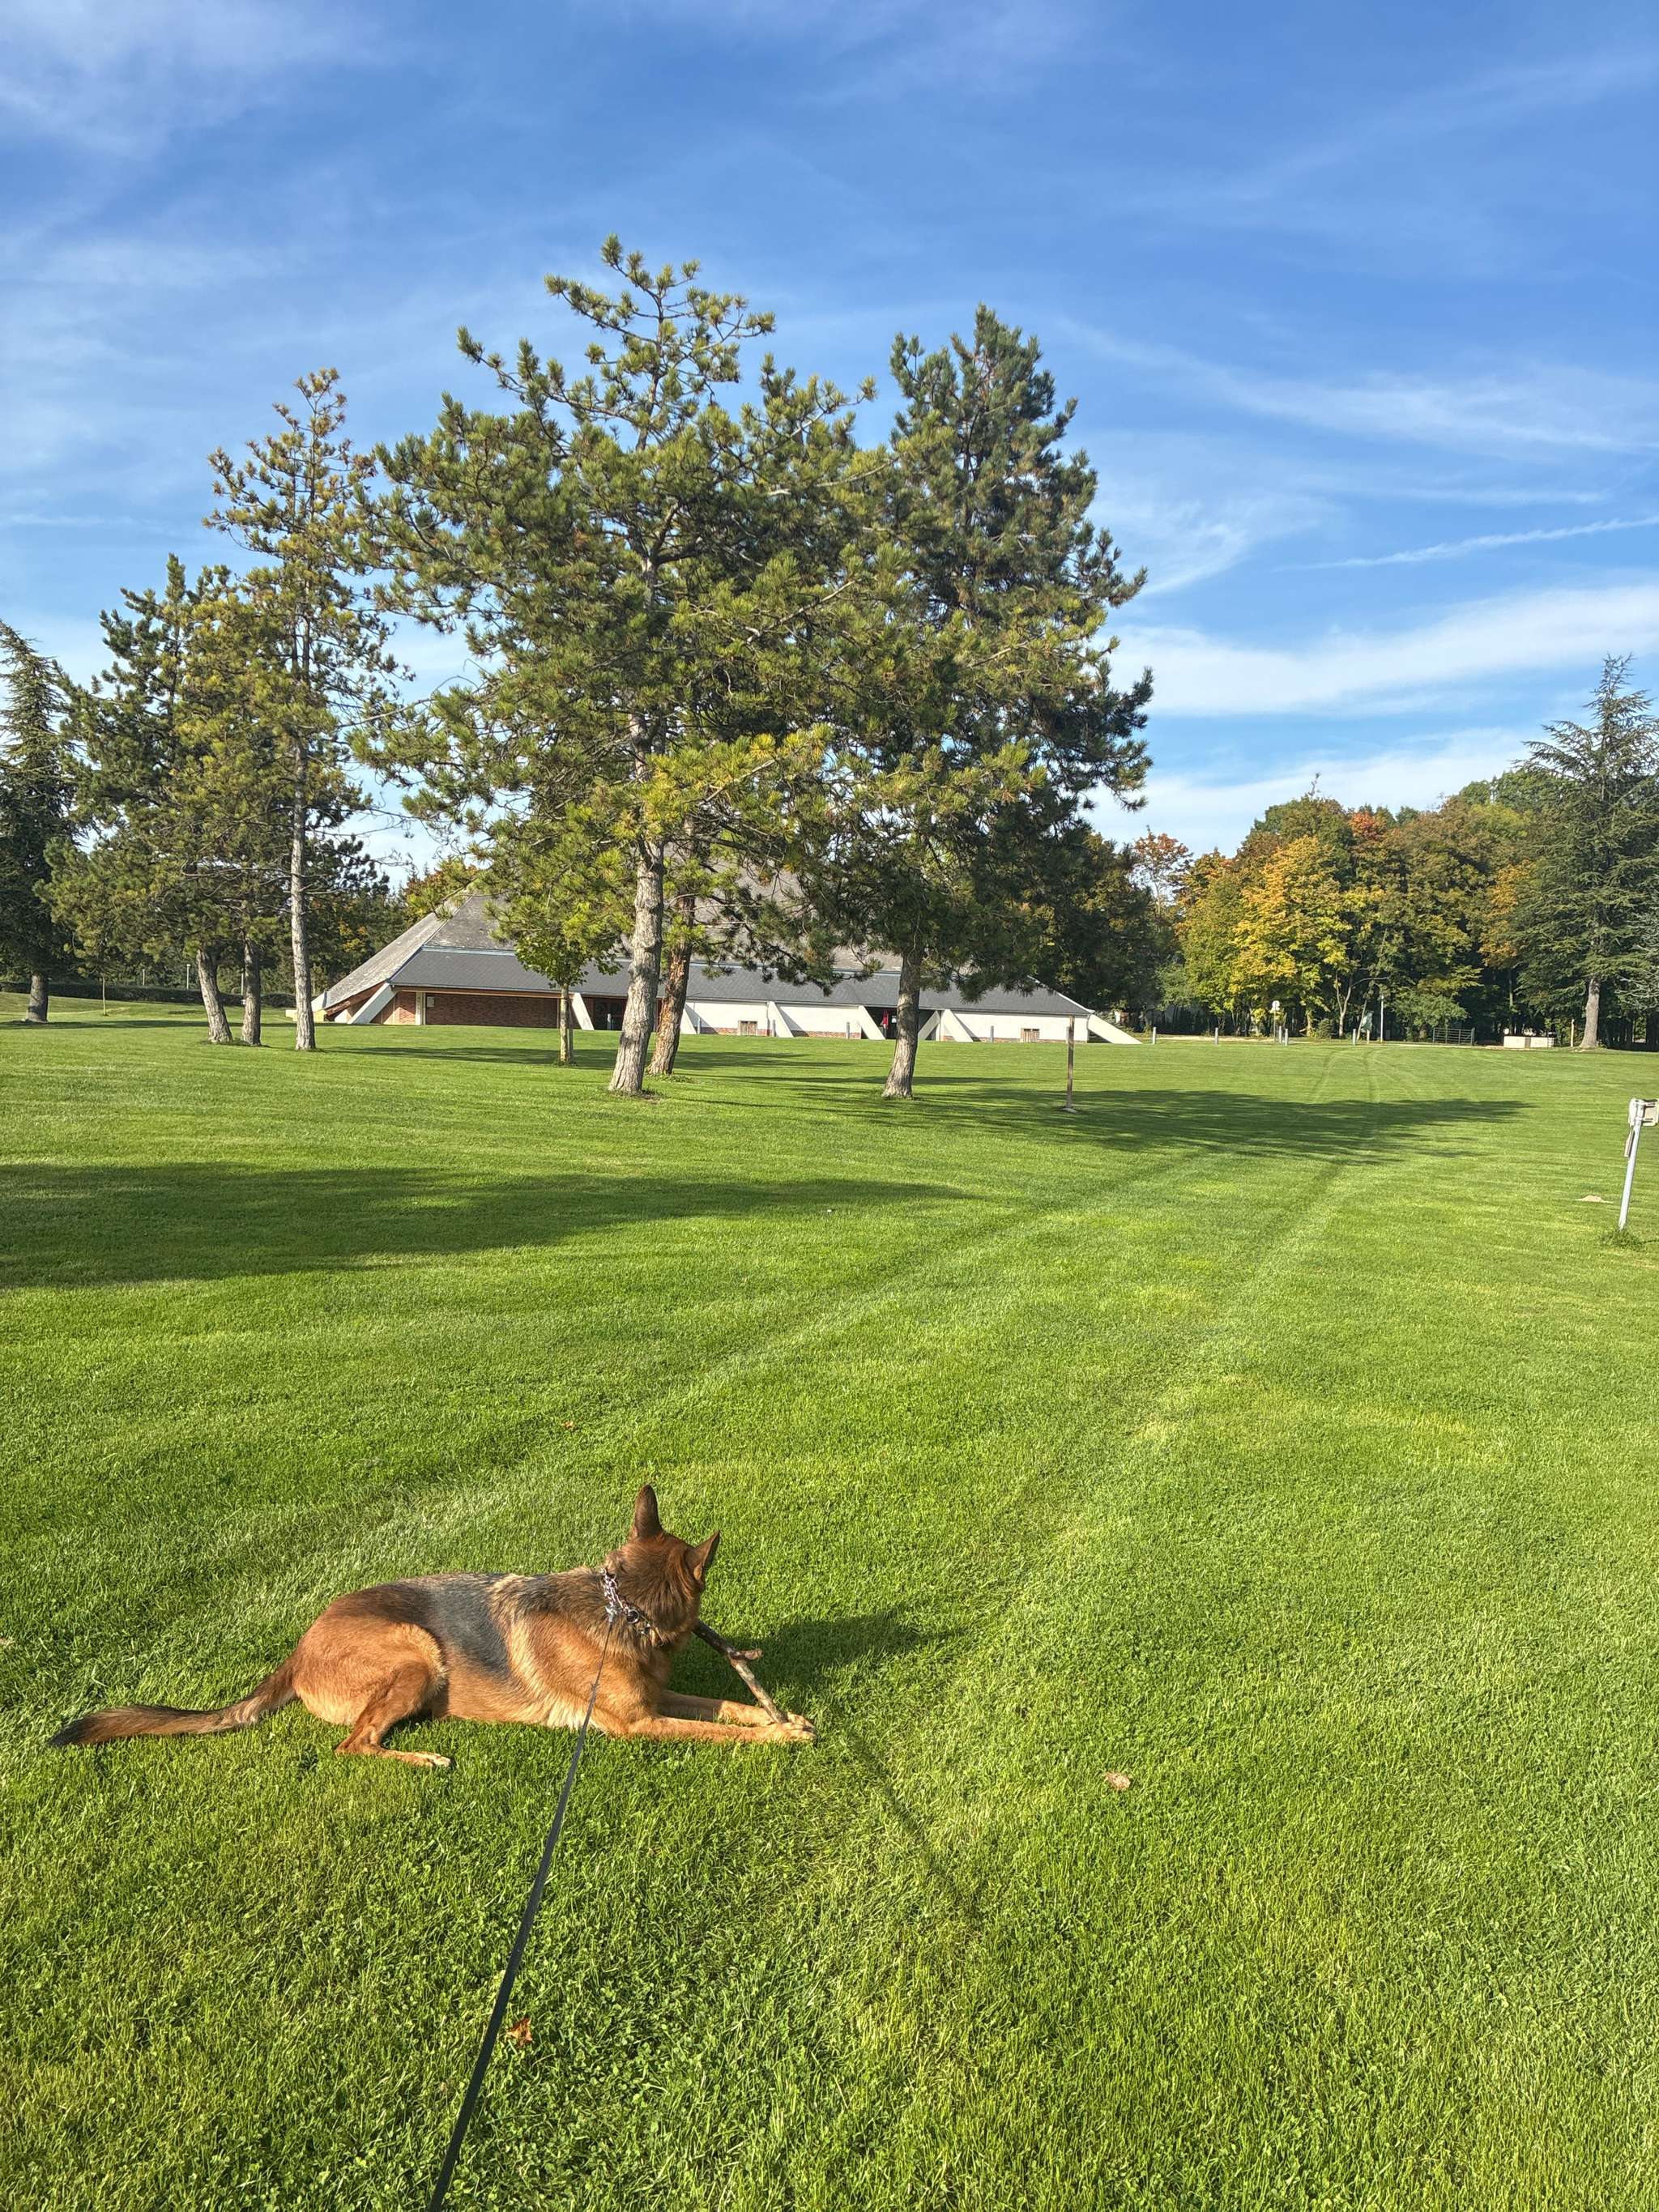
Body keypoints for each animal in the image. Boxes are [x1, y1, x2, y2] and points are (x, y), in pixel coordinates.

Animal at [51, 1486, 814, 1767]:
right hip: (416, 1655)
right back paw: (423, 1757)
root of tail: (299, 1647)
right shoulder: (637, 1724)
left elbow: (727, 1704)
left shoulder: (656, 1701)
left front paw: (782, 1716)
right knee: (353, 1745)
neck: (620, 1605)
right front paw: (776, 1735)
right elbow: (717, 1730)